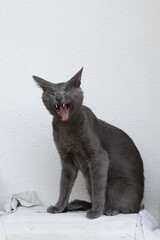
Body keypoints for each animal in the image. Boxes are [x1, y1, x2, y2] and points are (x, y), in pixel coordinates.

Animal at [32, 68, 144, 218]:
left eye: (67, 91)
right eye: (52, 93)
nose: (59, 97)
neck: (67, 128)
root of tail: (141, 204)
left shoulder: (98, 157)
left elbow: (98, 189)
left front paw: (96, 212)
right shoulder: (66, 159)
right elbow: (64, 186)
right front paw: (59, 207)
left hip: (116, 183)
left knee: (128, 209)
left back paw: (109, 210)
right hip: (88, 180)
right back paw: (75, 205)